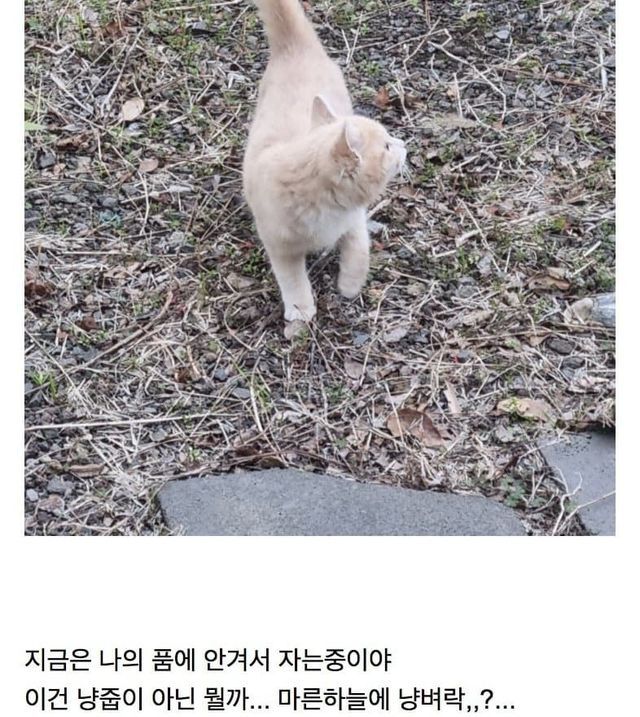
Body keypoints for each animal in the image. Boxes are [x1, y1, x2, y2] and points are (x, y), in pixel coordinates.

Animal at [243, 0, 406, 334]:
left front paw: (350, 286)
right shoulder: (279, 244)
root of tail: (295, 47)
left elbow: (359, 249)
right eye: (386, 147)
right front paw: (300, 313)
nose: (403, 143)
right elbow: (293, 280)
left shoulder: (354, 218)